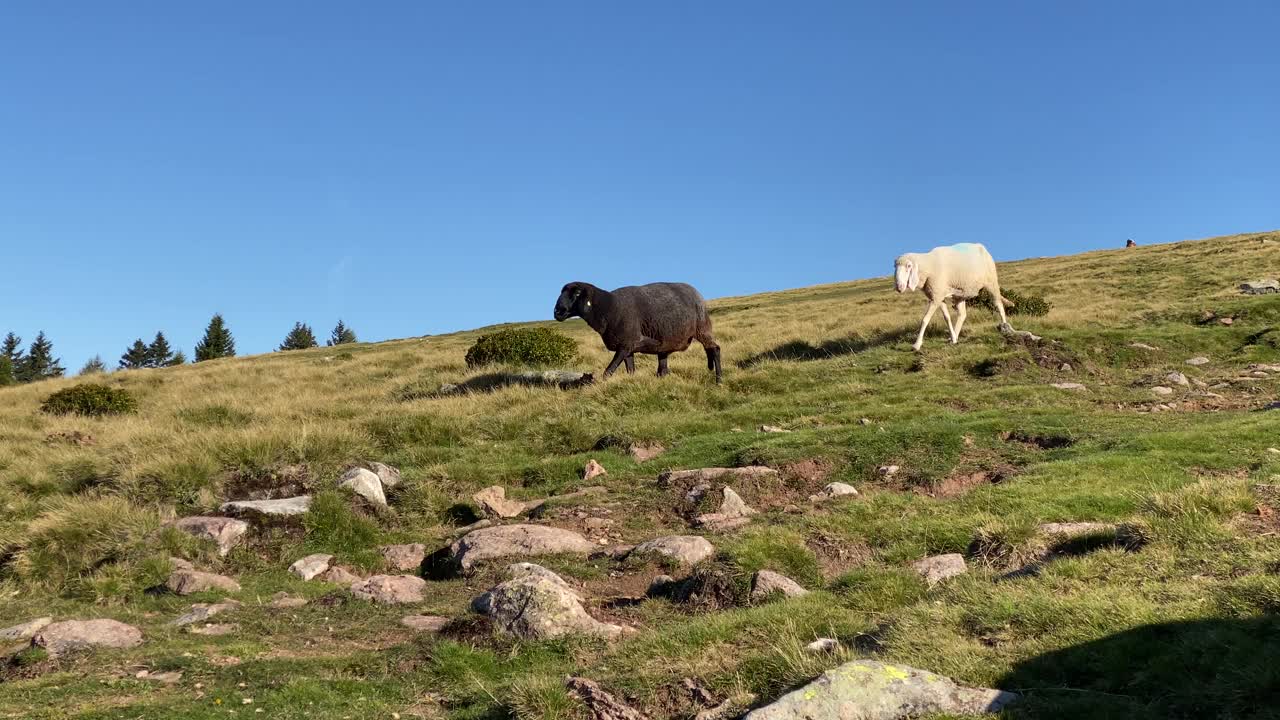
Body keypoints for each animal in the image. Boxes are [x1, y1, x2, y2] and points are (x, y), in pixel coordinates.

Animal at [555, 279, 727, 381]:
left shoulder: (626, 345)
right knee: (663, 368)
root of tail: (696, 292)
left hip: (702, 327)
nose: (557, 311)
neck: (608, 307)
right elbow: (630, 370)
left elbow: (608, 372)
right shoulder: (627, 347)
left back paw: (719, 379)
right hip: (666, 342)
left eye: (577, 293)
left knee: (714, 349)